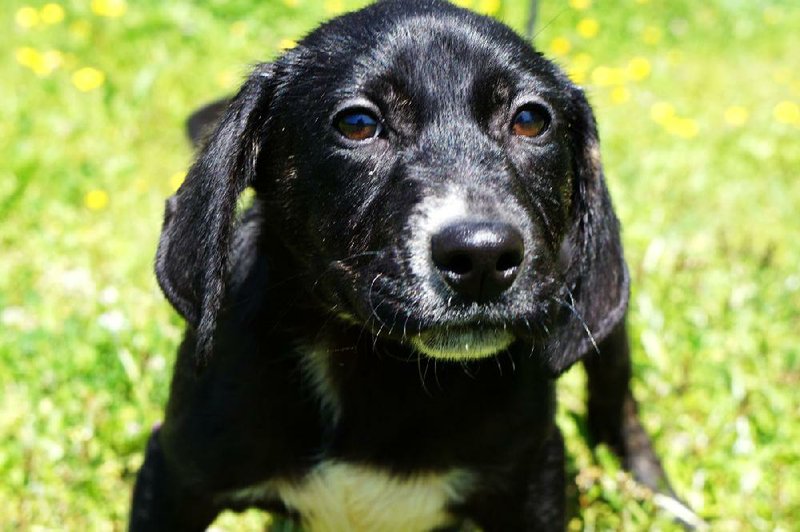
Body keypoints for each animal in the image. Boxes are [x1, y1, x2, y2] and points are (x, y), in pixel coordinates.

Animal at [130, 2, 676, 528]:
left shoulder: (534, 481)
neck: (379, 365)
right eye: (357, 124)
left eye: (530, 119)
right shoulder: (172, 473)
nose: (482, 256)